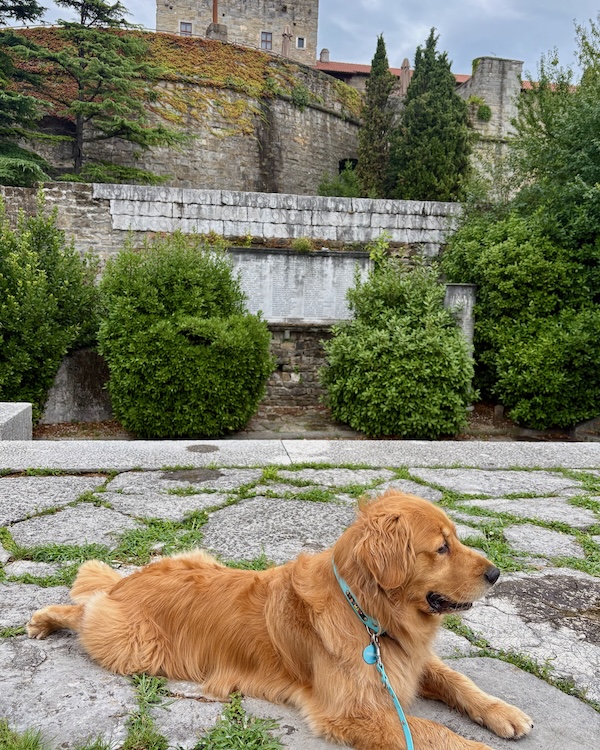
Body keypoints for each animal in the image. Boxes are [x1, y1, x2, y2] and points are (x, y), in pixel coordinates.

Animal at [28, 491, 533, 749]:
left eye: (456, 539)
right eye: (441, 547)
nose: (496, 573)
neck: (366, 612)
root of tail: (129, 581)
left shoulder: (407, 658)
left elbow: (457, 680)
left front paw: (503, 712)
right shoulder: (355, 710)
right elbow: (439, 734)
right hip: (131, 643)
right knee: (84, 609)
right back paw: (44, 619)